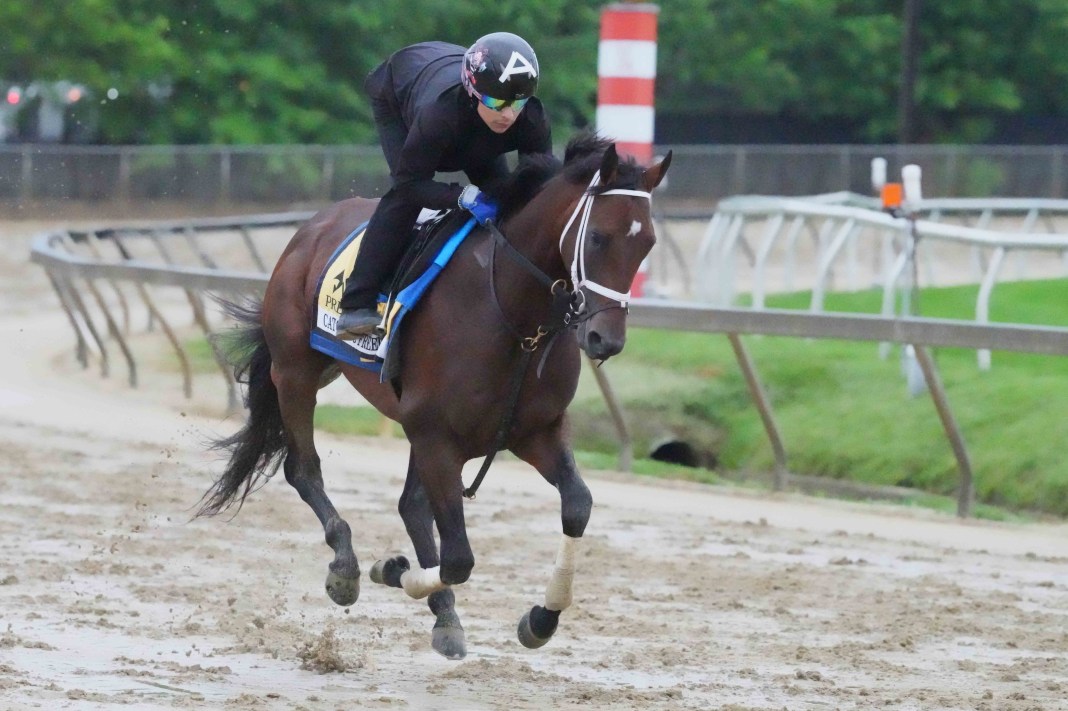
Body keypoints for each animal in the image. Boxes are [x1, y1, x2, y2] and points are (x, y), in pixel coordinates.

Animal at [196, 130, 670, 657]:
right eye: (599, 237)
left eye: (647, 243)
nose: (606, 340)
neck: (513, 315)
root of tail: (310, 229)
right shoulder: (437, 438)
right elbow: (459, 558)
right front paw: (389, 568)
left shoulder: (534, 432)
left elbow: (577, 506)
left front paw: (541, 617)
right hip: (298, 373)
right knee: (304, 470)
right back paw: (348, 567)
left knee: (410, 506)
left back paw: (443, 616)